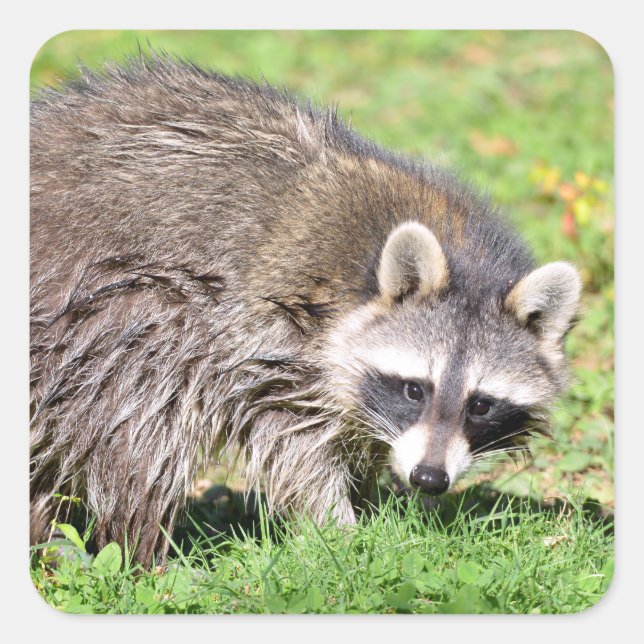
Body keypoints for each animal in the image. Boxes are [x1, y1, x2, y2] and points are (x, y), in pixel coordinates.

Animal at [30, 57, 581, 565]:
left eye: (481, 405)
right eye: (414, 389)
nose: (428, 478)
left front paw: (369, 497)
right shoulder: (266, 336)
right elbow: (290, 440)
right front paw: (338, 525)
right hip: (100, 312)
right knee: (143, 407)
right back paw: (140, 549)